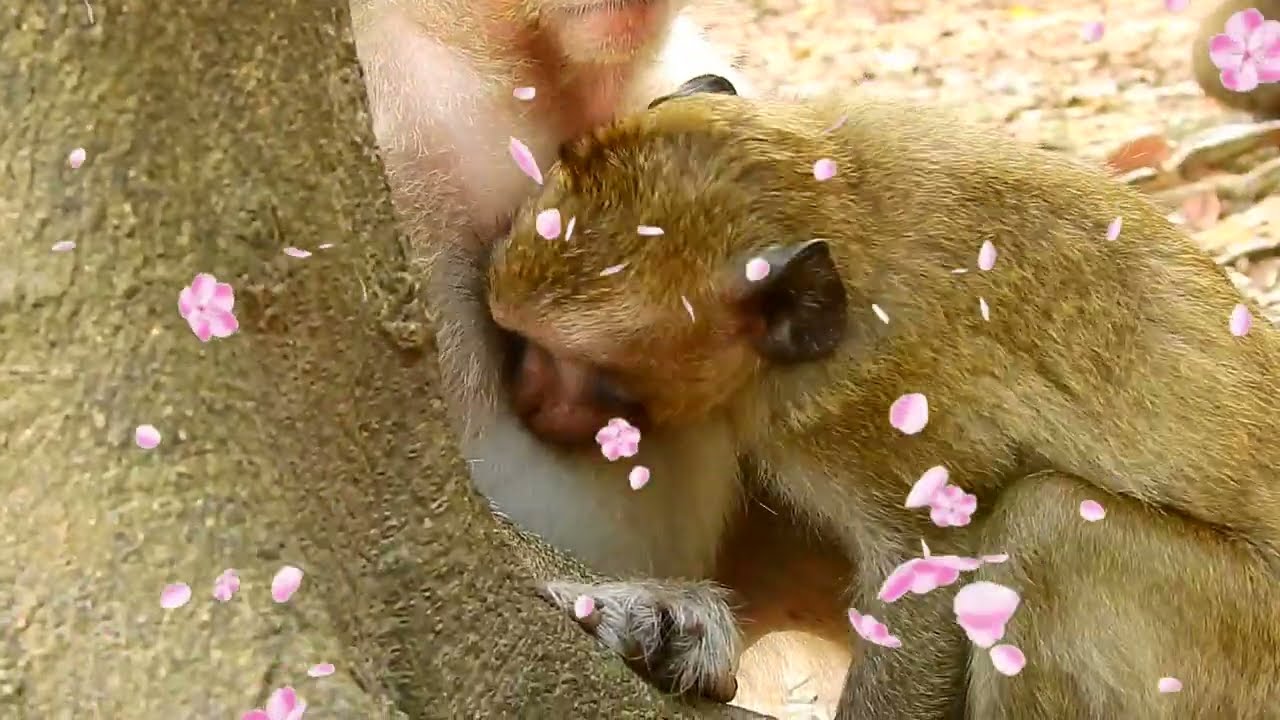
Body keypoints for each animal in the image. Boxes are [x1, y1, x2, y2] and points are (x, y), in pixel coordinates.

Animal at [486, 84, 1280, 718]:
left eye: (600, 377)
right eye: (521, 342)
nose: (526, 399)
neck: (840, 209)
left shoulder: (863, 410)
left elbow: (926, 580)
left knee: (1049, 525)